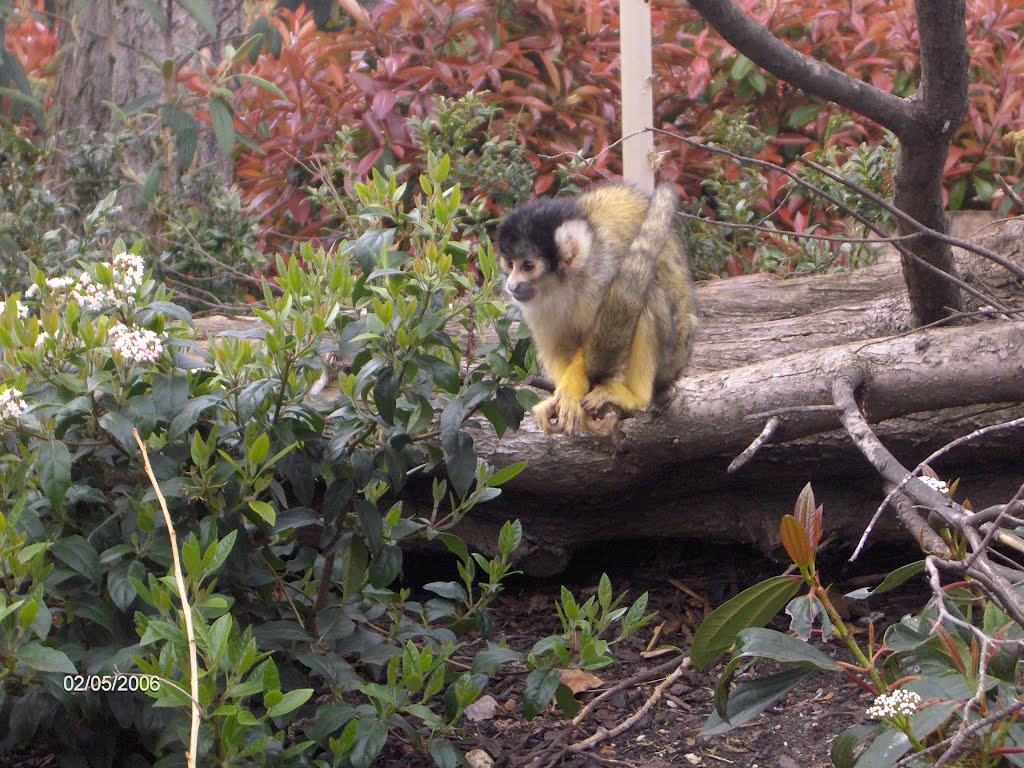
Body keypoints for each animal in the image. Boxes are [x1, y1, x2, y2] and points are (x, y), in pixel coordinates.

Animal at [495, 184, 696, 436]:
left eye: (528, 266)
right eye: (510, 263)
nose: (511, 286)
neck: (567, 283)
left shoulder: (604, 274)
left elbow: (604, 334)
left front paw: (570, 392)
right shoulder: (535, 305)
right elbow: (559, 347)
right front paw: (565, 401)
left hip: (675, 351)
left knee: (649, 295)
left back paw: (635, 396)